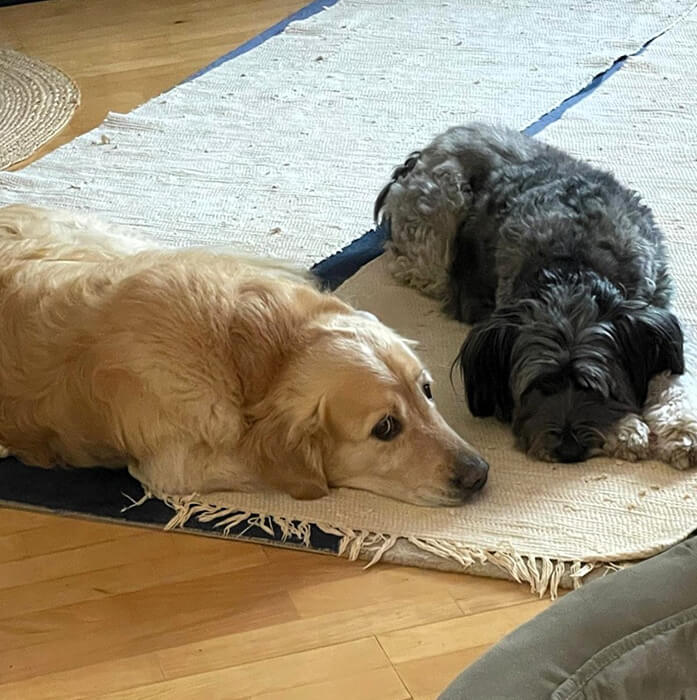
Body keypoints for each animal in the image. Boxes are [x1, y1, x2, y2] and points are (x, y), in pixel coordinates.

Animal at [375, 123, 686, 464]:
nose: (567, 450)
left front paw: (680, 428)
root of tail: (425, 153)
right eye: (539, 386)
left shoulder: (657, 312)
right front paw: (626, 430)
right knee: (414, 265)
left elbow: (673, 377)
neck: (572, 266)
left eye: (594, 387)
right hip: (441, 213)